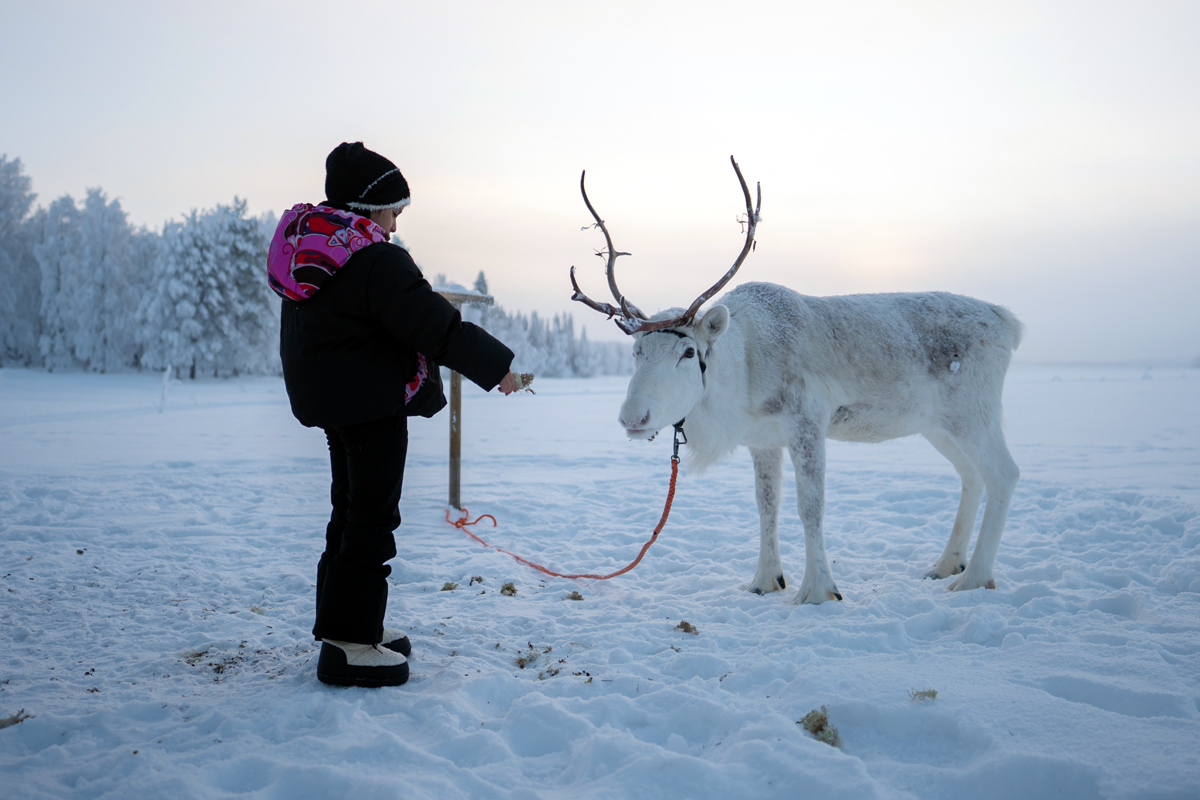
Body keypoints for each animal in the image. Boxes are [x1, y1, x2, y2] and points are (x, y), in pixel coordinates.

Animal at [569, 156, 1023, 604]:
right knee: (970, 476)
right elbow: (766, 505)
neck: (743, 374)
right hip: (938, 425)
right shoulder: (762, 439)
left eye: (688, 352)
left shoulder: (808, 422)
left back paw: (975, 576)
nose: (633, 417)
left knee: (1004, 474)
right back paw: (947, 564)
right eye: (636, 351)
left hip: (973, 413)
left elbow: (811, 506)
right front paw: (764, 581)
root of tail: (1008, 322)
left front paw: (819, 590)